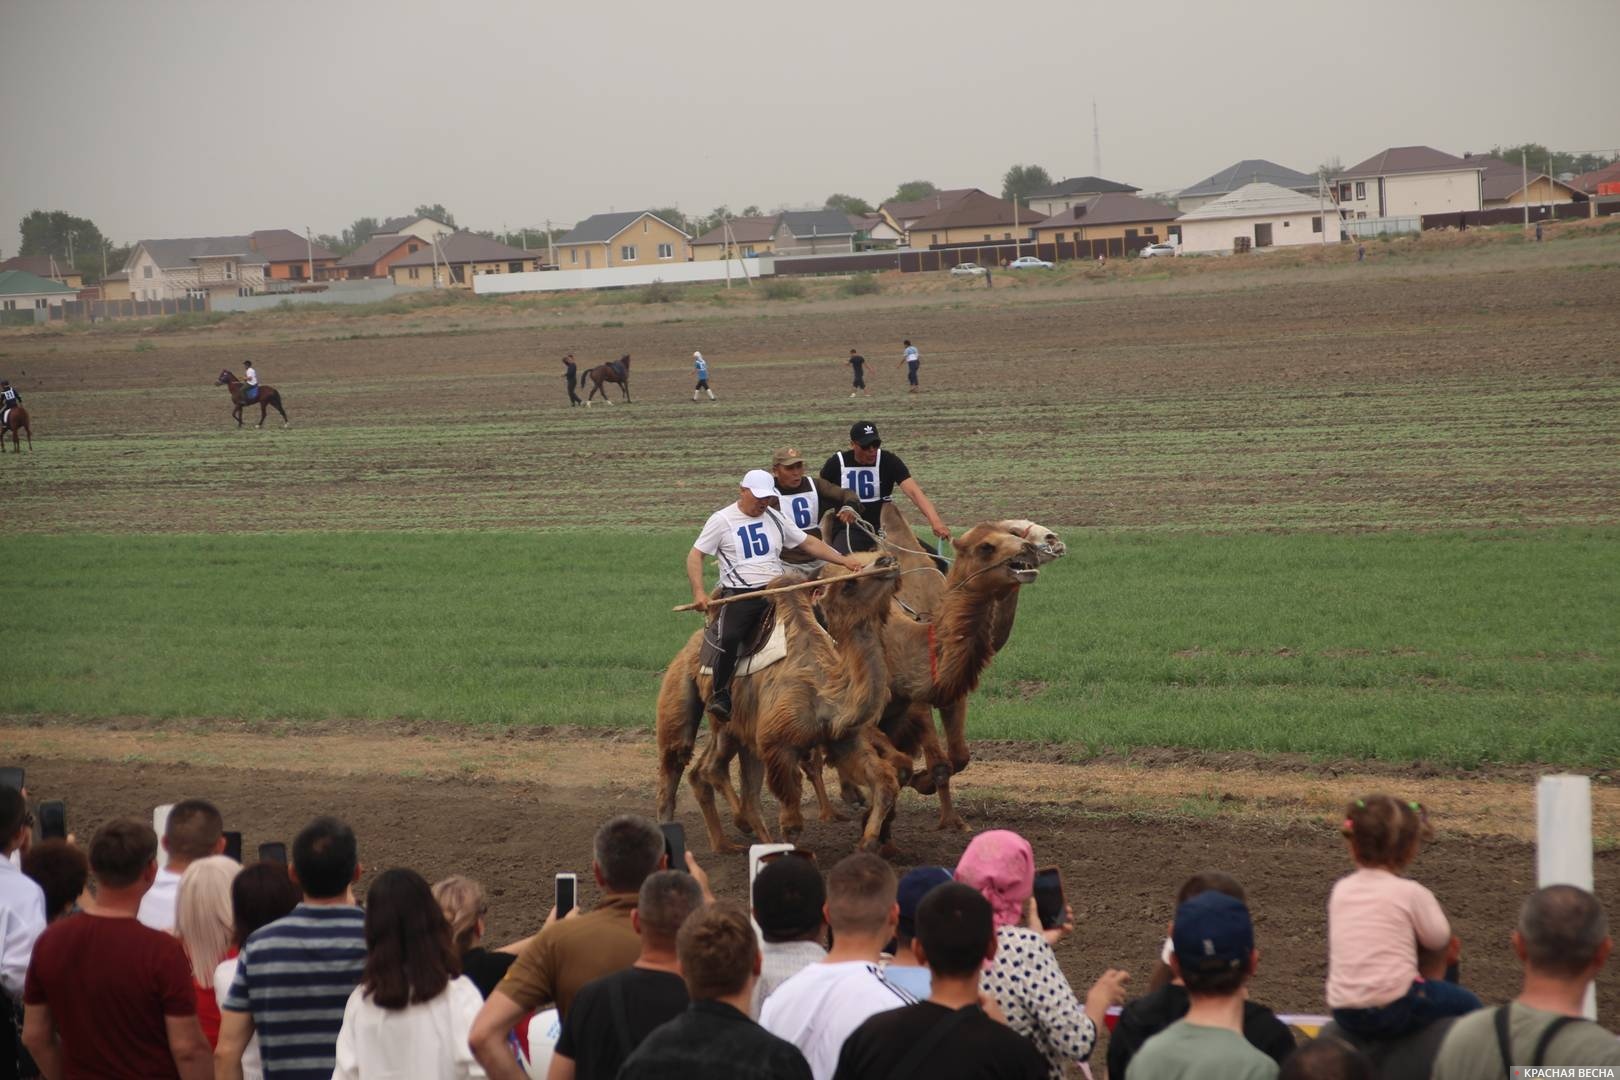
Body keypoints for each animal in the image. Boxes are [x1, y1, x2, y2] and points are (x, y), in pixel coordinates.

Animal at [657, 557, 913, 854]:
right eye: (849, 584)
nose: (887, 560)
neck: (824, 695)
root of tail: (692, 643)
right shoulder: (779, 746)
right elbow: (792, 823)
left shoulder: (844, 739)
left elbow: (885, 781)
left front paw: (868, 841)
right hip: (685, 691)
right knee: (676, 762)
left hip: (737, 731)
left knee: (718, 779)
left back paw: (728, 843)